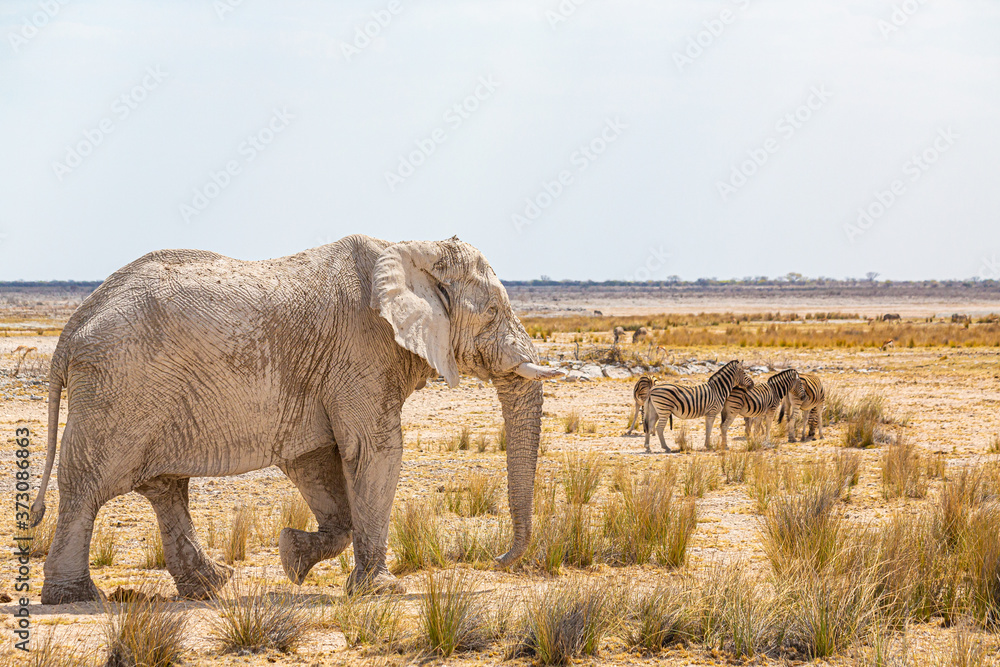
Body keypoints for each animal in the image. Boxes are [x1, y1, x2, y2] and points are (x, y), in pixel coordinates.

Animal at [30, 234, 562, 604]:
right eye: (492, 311)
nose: (498, 559)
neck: (409, 247)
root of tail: (71, 329)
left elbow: (316, 462)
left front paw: (292, 558)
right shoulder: (361, 352)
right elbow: (375, 451)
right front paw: (380, 592)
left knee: (164, 486)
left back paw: (211, 587)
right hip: (117, 389)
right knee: (88, 488)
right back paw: (76, 598)